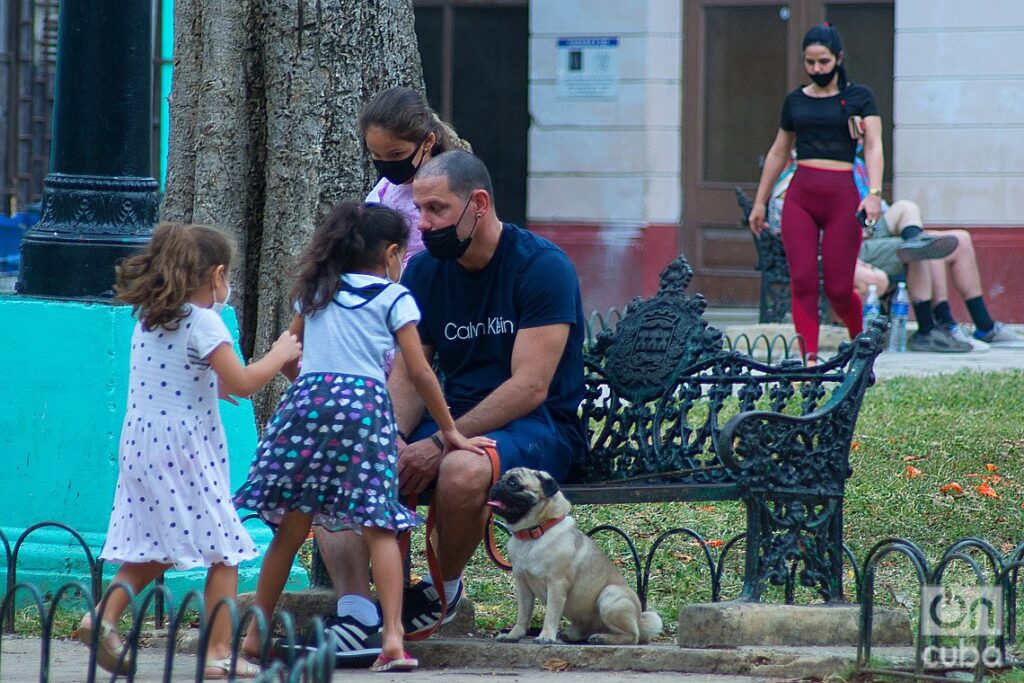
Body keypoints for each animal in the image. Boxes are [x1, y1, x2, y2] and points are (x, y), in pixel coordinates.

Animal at [487, 466, 663, 643]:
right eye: (501, 479)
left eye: (513, 483)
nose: (496, 485)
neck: (533, 534)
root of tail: (639, 621)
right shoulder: (523, 585)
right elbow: (523, 615)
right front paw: (514, 635)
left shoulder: (557, 584)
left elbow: (551, 614)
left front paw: (546, 636)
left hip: (610, 596)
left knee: (632, 636)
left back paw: (602, 638)